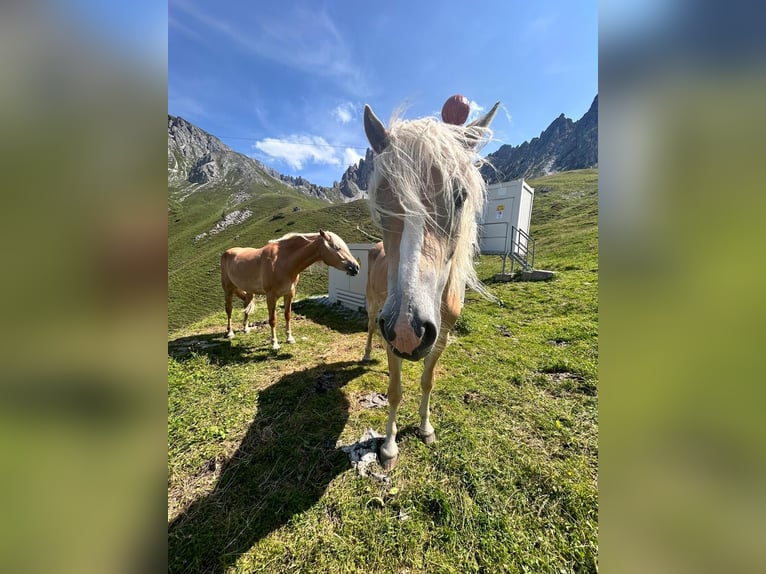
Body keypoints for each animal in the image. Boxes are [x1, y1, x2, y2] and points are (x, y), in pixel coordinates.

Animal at [222, 231, 360, 352]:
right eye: (337, 248)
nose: (356, 267)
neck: (282, 261)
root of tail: (227, 252)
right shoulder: (271, 296)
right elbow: (273, 320)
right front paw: (275, 343)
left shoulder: (289, 294)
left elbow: (287, 315)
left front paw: (289, 338)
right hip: (228, 289)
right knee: (229, 309)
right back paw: (230, 332)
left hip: (247, 290)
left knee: (246, 305)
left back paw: (245, 328)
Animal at [364, 102, 500, 472]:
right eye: (380, 201)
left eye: (460, 196)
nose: (406, 328)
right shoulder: (389, 337)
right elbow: (394, 390)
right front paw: (389, 446)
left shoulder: (443, 338)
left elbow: (428, 380)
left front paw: (425, 429)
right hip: (373, 307)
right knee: (368, 328)